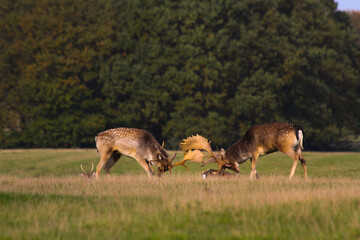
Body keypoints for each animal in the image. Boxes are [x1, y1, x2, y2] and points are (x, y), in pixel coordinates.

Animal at [174, 122, 306, 180]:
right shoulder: (252, 155)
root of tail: (298, 129)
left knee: (296, 157)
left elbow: (253, 166)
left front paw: (250, 179)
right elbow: (254, 167)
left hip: (285, 146)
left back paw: (290, 177)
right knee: (303, 159)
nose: (237, 170)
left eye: (227, 163)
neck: (245, 146)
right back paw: (305, 178)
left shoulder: (255, 151)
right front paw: (256, 178)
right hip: (298, 147)